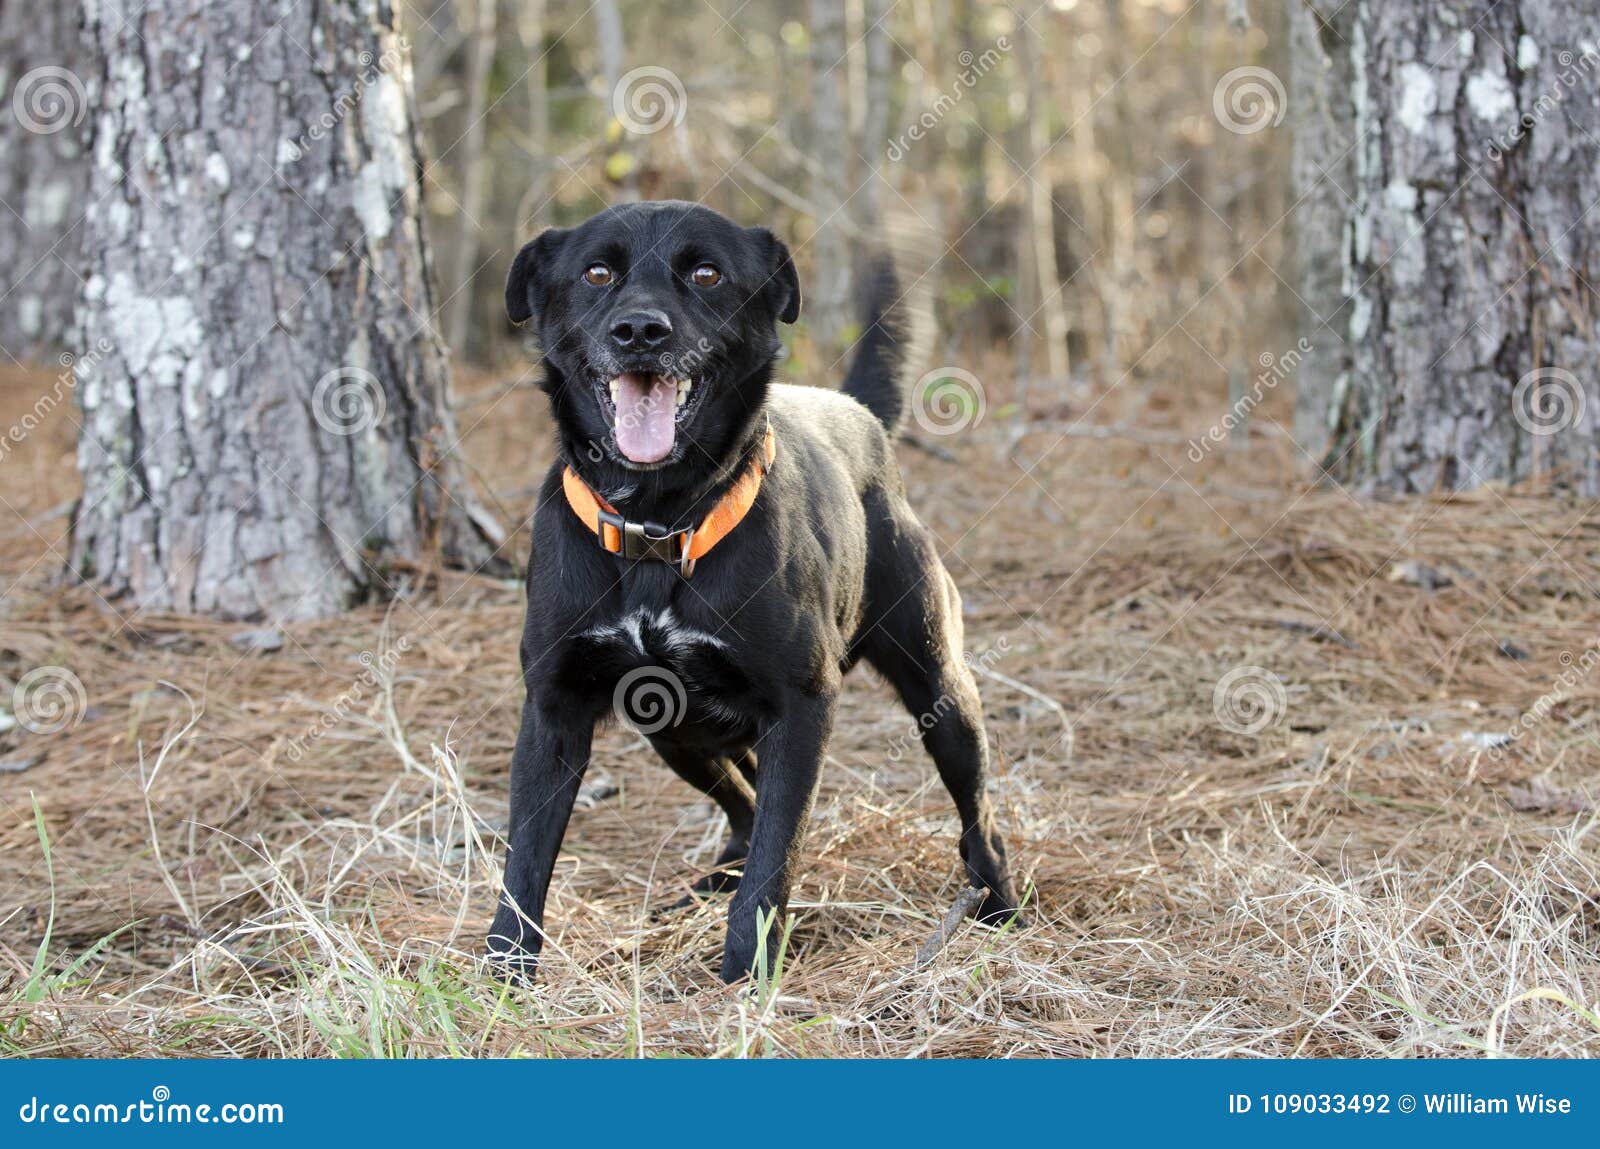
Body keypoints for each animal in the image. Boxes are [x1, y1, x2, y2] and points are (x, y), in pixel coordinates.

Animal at [480, 200, 1024, 979]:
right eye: (597, 273)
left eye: (707, 273)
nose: (640, 331)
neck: (661, 520)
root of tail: (854, 411)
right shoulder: (553, 710)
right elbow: (523, 860)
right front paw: (503, 973)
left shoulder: (802, 707)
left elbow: (778, 851)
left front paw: (746, 970)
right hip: (670, 723)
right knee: (740, 799)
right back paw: (712, 879)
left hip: (940, 690)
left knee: (977, 816)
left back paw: (1000, 905)